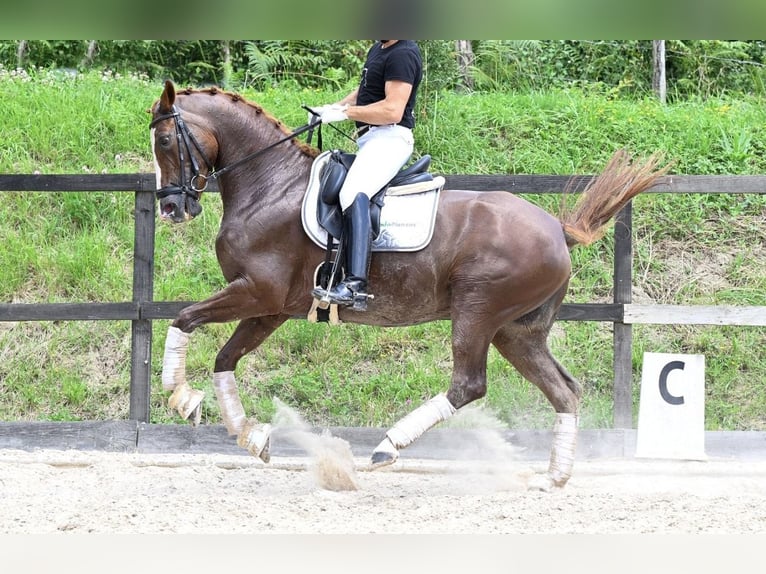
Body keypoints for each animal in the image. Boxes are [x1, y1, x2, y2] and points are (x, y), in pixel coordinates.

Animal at [150, 77, 672, 490]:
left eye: (165, 140)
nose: (172, 208)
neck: (271, 185)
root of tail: (557, 230)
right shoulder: (271, 307)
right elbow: (225, 358)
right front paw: (250, 435)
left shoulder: (257, 291)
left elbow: (184, 319)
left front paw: (181, 397)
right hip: (516, 331)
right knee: (564, 390)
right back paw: (554, 477)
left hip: (477, 313)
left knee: (468, 385)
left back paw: (387, 446)